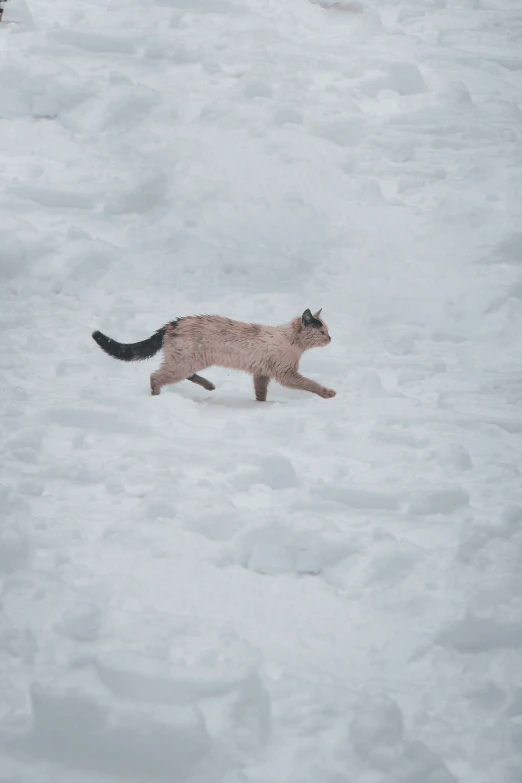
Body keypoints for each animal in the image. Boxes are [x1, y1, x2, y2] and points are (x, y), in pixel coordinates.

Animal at [90, 308, 334, 402]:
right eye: (322, 331)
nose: (331, 338)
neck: (293, 342)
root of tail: (172, 323)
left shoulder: (261, 374)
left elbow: (260, 393)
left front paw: (260, 406)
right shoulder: (286, 374)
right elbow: (311, 384)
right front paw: (328, 393)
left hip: (188, 361)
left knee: (179, 374)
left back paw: (209, 386)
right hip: (186, 362)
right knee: (155, 376)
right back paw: (158, 397)